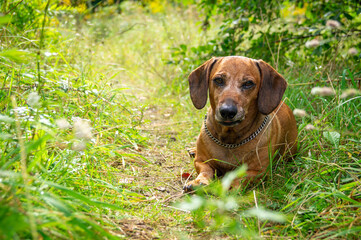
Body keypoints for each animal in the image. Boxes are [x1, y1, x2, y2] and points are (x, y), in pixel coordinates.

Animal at [184, 56, 296, 191]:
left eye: (248, 83)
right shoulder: (201, 161)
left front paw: (231, 186)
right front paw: (200, 181)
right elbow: (206, 170)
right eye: (218, 80)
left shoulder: (258, 171)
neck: (230, 141)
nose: (227, 111)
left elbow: (241, 176)